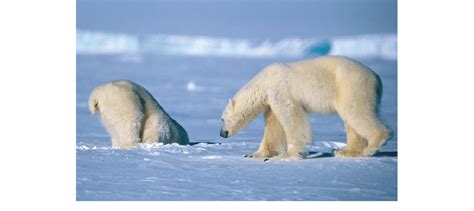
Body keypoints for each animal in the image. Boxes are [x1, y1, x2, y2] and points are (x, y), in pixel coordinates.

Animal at [220, 56, 390, 160]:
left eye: (221, 119)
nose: (222, 133)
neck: (264, 81)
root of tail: (377, 78)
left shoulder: (281, 90)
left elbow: (292, 117)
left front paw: (288, 155)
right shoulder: (271, 99)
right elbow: (274, 126)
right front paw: (255, 154)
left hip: (352, 86)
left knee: (356, 112)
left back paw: (371, 147)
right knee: (352, 120)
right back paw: (345, 151)